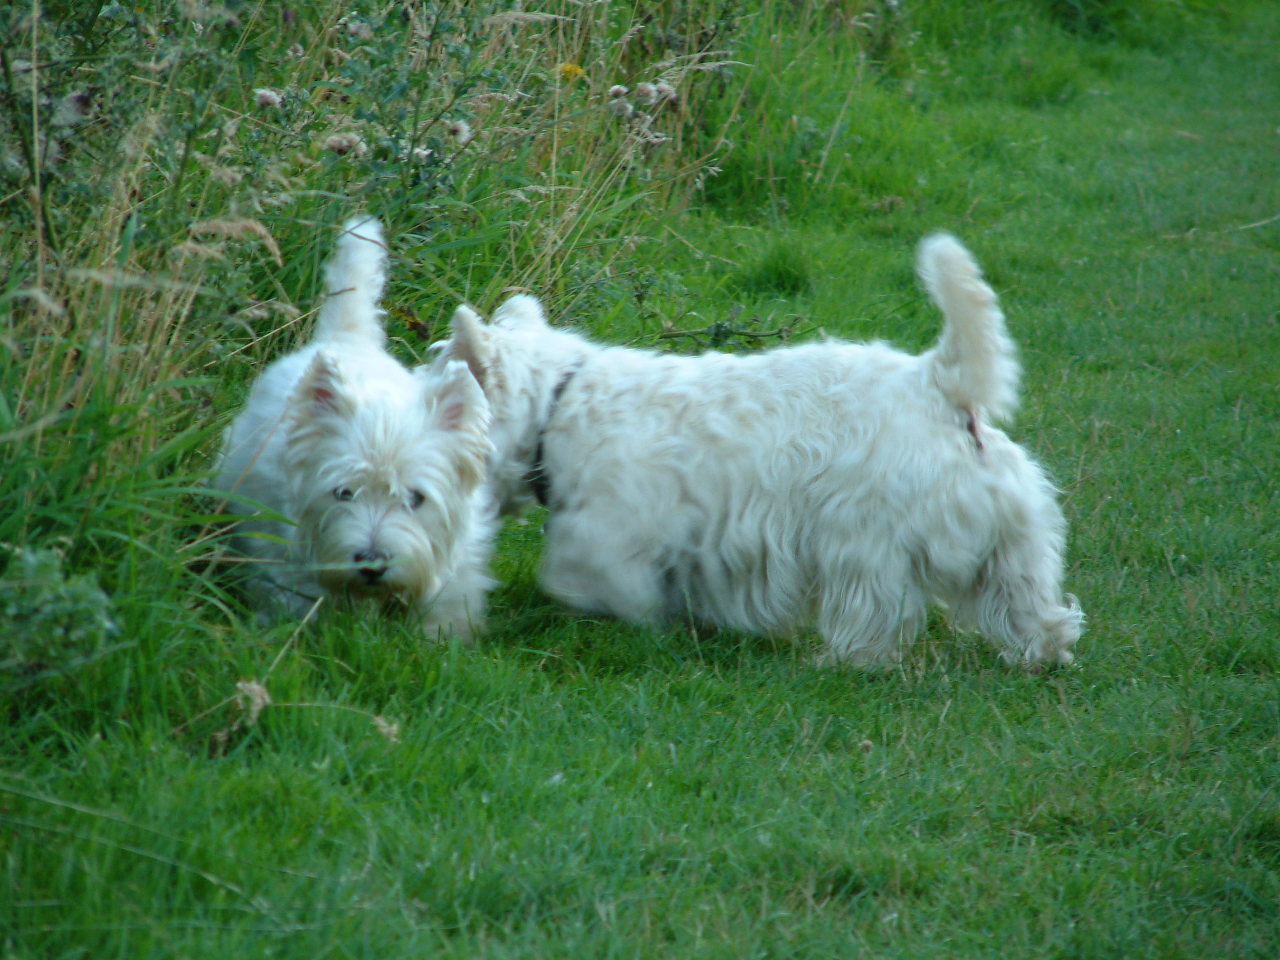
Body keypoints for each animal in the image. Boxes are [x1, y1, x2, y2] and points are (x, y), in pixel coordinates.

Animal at [215, 217, 494, 640]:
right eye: (343, 492)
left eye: (416, 498)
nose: (372, 563)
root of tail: (345, 338)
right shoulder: (289, 556)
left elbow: (440, 616)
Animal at [440, 234, 1080, 670]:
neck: (560, 402)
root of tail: (940, 385)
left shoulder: (609, 535)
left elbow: (579, 579)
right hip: (1012, 539)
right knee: (1030, 603)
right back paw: (1041, 654)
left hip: (864, 542)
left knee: (873, 614)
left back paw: (843, 661)